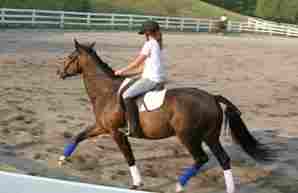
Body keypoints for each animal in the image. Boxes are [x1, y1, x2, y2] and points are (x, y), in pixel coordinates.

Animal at [57, 39, 274, 193]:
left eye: (70, 56)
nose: (59, 72)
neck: (106, 91)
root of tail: (212, 97)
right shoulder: (102, 127)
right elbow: (78, 136)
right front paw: (61, 159)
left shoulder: (115, 132)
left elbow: (129, 157)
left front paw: (137, 183)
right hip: (210, 136)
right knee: (223, 159)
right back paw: (228, 189)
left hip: (188, 136)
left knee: (201, 158)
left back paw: (179, 185)